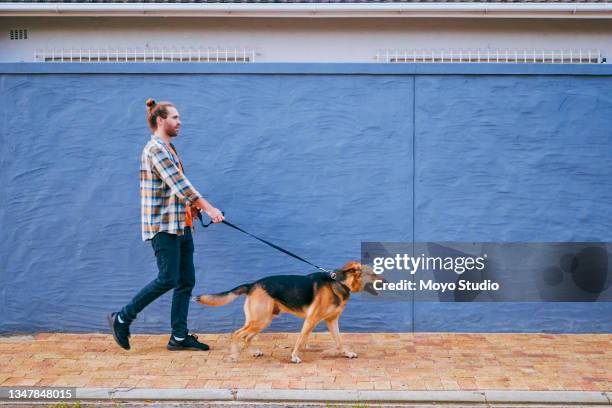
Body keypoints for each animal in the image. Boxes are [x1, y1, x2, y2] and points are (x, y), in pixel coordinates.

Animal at [192, 262, 382, 364]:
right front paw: (294, 357)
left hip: (263, 320)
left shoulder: (332, 321)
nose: (385, 281)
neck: (340, 283)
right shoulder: (311, 320)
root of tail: (252, 284)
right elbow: (300, 340)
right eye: (373, 273)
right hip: (260, 319)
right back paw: (233, 356)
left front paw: (347, 353)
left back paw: (253, 352)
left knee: (246, 337)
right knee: (237, 334)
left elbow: (340, 341)